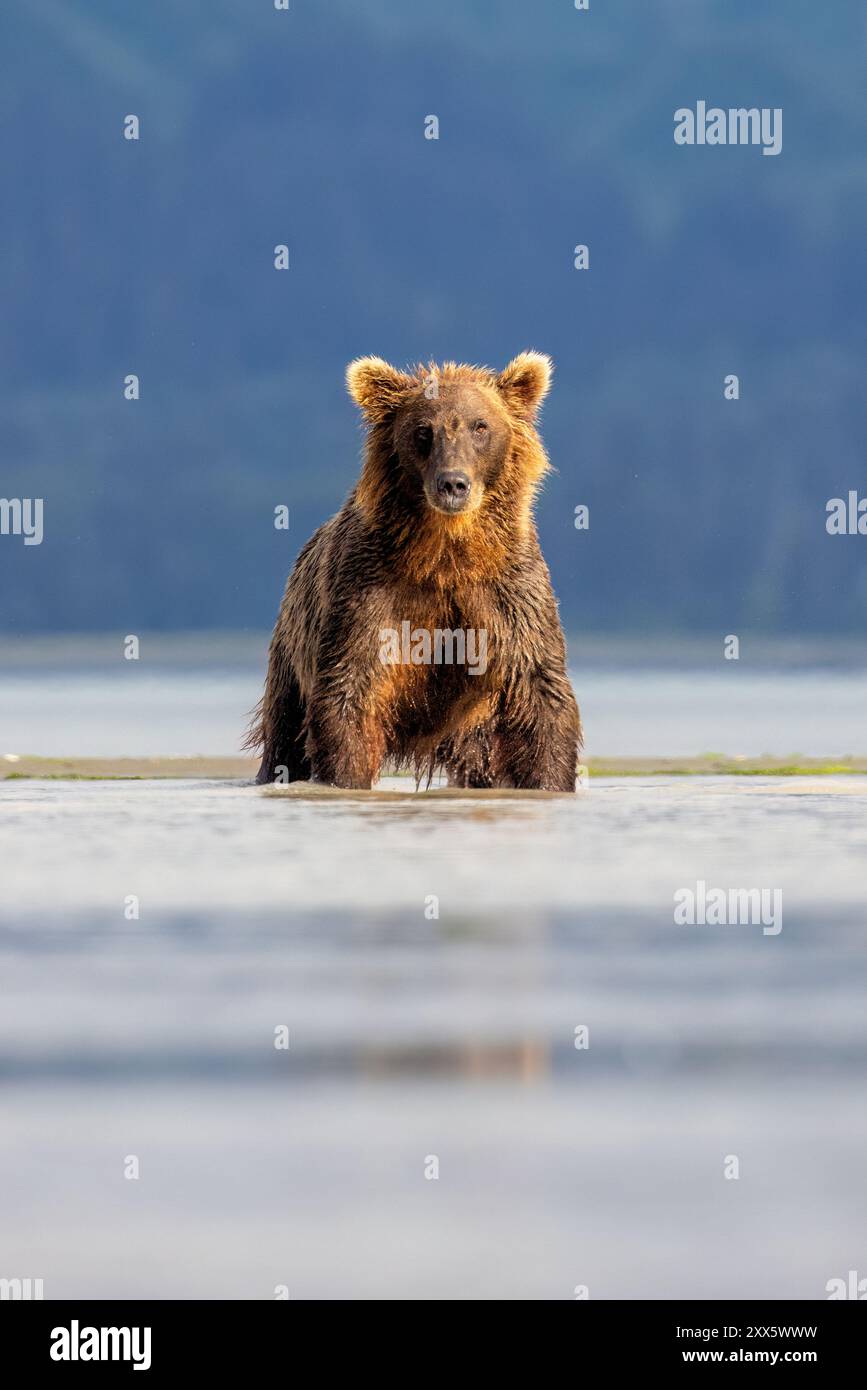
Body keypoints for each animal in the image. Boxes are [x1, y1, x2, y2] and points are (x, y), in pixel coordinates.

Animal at [245, 350, 583, 795]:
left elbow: (540, 692)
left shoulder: (507, 593)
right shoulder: (372, 591)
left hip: (474, 733)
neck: (445, 554)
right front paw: (345, 779)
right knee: (284, 736)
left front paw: (549, 782)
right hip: (291, 656)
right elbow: (350, 691)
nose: (453, 483)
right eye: (424, 431)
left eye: (480, 426)